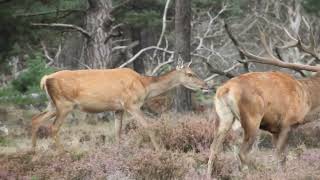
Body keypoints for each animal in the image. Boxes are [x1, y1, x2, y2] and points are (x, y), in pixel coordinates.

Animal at [31, 61, 209, 153]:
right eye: (190, 74)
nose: (206, 85)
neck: (144, 86)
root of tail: (46, 78)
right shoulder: (131, 104)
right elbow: (148, 126)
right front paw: (161, 150)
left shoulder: (119, 108)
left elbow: (117, 131)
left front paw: (118, 151)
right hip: (64, 104)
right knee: (53, 127)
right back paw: (62, 153)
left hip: (53, 104)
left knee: (36, 119)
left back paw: (33, 152)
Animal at [208, 16, 320, 176]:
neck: (307, 101)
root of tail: (225, 89)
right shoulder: (287, 123)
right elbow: (281, 156)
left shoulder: (275, 129)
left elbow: (281, 157)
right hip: (252, 118)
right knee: (242, 152)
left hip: (223, 117)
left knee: (213, 149)